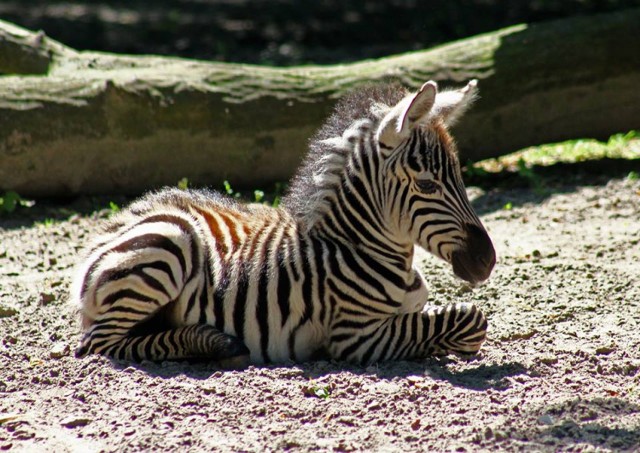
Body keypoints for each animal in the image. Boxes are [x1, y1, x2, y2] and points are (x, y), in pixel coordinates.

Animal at [72, 79, 498, 366]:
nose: (487, 260)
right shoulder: (358, 337)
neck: (356, 246)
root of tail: (110, 233)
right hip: (169, 244)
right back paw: (216, 344)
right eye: (427, 184)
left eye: (460, 178)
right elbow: (471, 320)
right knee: (101, 343)